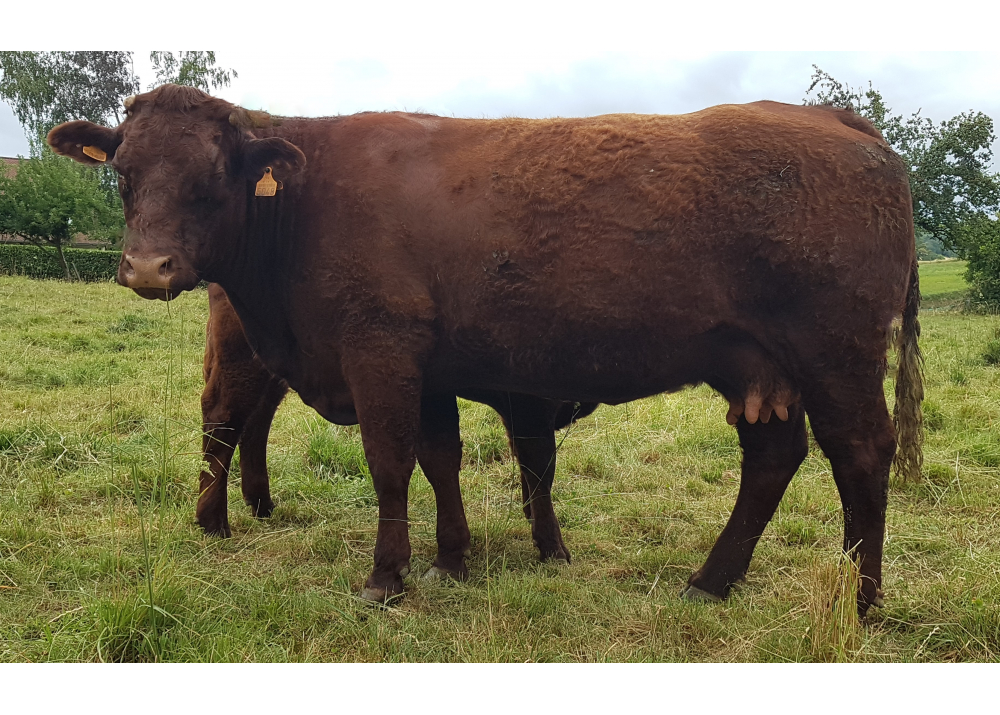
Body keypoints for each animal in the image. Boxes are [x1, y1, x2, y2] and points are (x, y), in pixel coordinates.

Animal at [199, 280, 596, 572]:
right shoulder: (529, 404)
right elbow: (539, 465)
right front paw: (553, 548)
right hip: (240, 354)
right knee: (223, 417)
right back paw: (213, 522)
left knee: (257, 419)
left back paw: (260, 503)